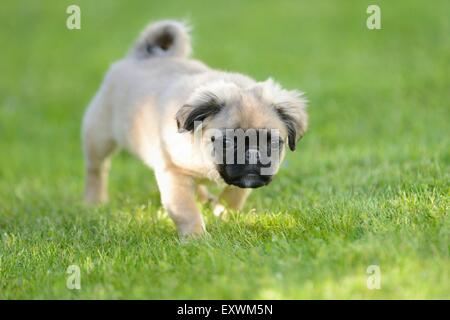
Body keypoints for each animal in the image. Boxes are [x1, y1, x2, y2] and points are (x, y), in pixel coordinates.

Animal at [81, 19, 306, 235]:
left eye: (273, 143)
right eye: (226, 142)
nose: (251, 155)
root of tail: (141, 56)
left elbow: (236, 194)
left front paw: (224, 213)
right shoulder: (173, 173)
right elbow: (186, 210)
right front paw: (196, 238)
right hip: (99, 136)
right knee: (97, 169)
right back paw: (94, 202)